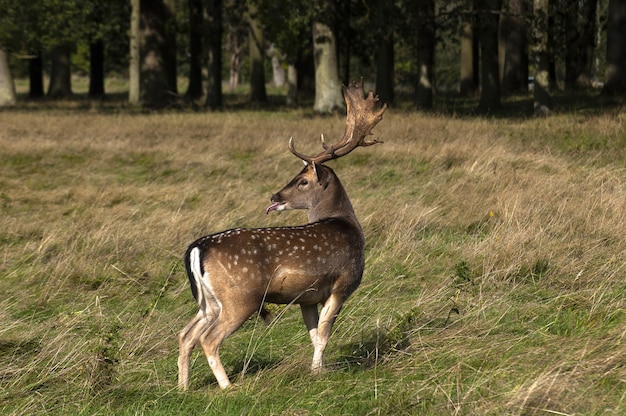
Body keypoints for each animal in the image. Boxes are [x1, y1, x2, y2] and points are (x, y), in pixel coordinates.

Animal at [176, 78, 386, 390]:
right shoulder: (342, 283)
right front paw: (318, 372)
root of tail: (196, 248)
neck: (346, 225)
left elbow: (314, 334)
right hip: (240, 297)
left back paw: (183, 387)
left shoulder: (307, 297)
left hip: (209, 302)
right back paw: (228, 387)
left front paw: (318, 370)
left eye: (302, 181)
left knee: (185, 334)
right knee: (208, 339)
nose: (274, 195)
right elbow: (325, 333)